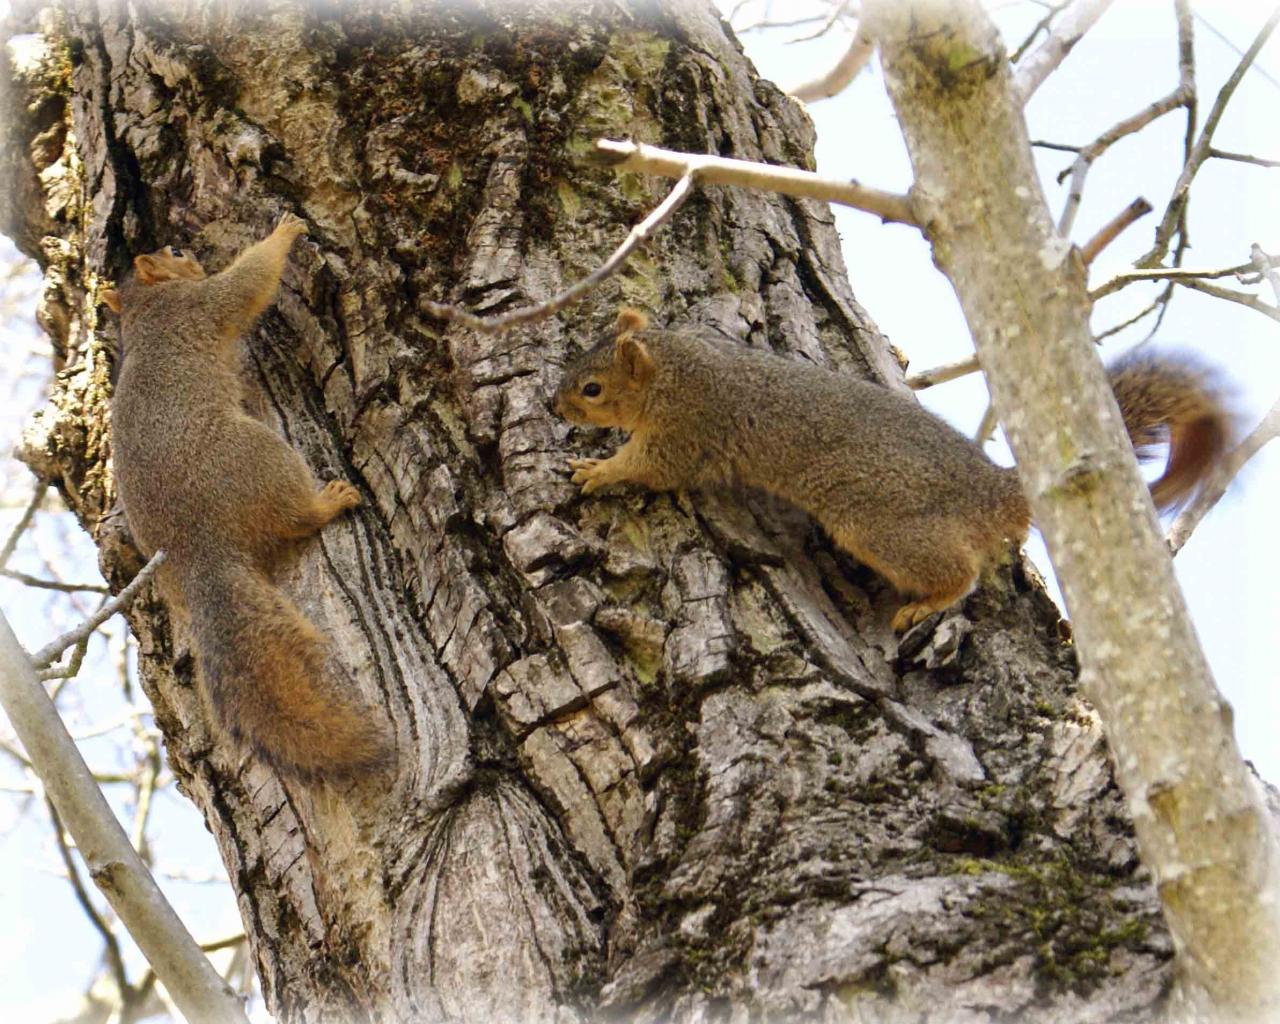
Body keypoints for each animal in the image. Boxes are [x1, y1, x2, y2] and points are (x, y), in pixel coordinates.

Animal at [106, 214, 393, 777]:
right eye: (175, 252)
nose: (186, 244)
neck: (146, 305)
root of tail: (200, 551)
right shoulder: (203, 303)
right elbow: (247, 284)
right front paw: (284, 233)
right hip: (259, 458)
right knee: (295, 514)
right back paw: (329, 500)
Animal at [553, 309, 1230, 633]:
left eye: (591, 388)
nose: (555, 405)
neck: (676, 364)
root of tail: (994, 488)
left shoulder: (686, 428)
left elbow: (650, 467)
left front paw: (596, 470)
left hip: (881, 526)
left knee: (959, 574)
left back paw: (923, 606)